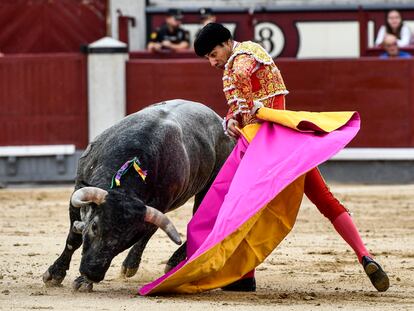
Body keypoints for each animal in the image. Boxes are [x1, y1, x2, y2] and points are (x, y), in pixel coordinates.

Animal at [44, 100, 236, 292]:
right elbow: (74, 238)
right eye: (94, 227)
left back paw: (166, 263)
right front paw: (55, 274)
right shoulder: (78, 192)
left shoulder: (159, 206)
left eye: (127, 241)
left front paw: (83, 281)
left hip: (208, 189)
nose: (92, 273)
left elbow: (145, 234)